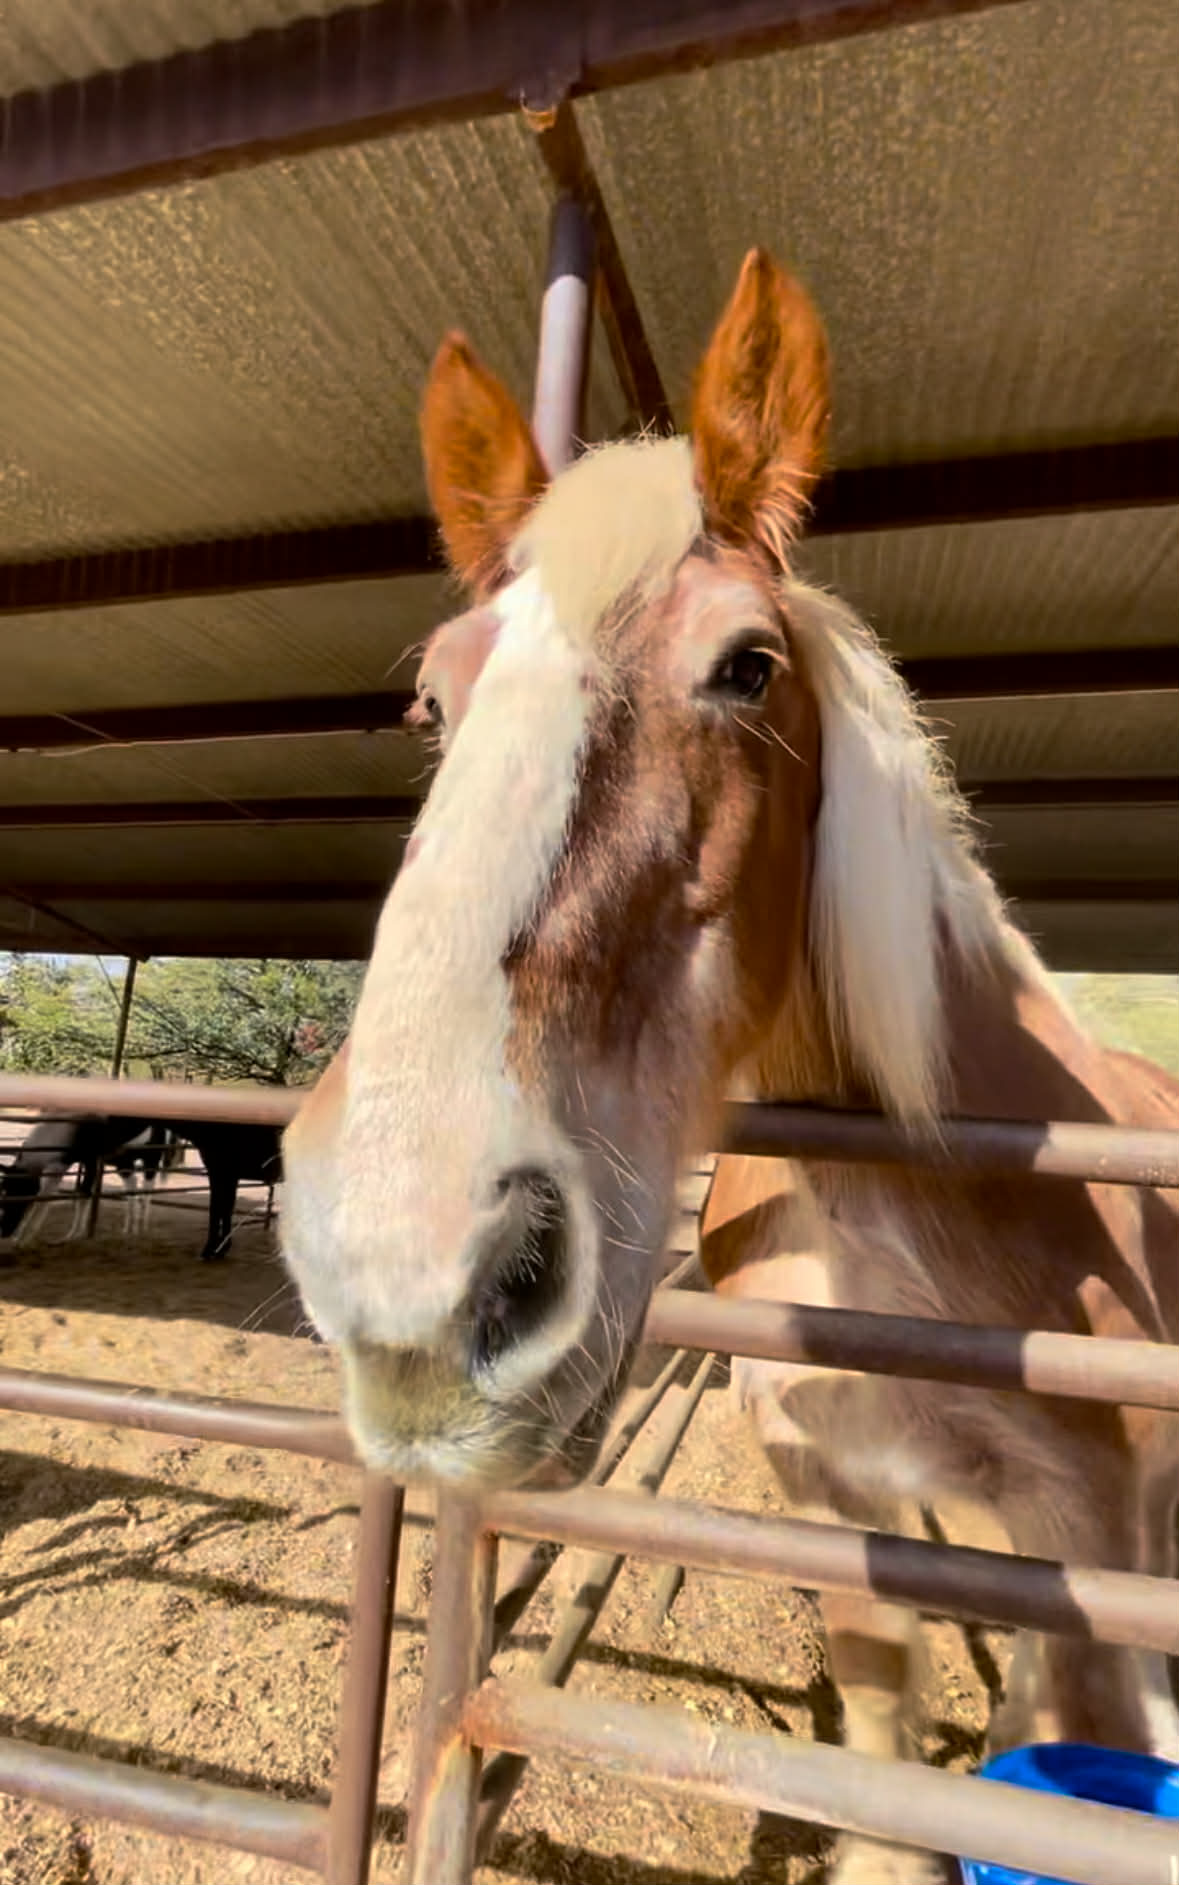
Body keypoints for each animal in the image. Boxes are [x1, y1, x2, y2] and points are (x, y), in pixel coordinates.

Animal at [279, 247, 1179, 1881]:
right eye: (435, 699)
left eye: (746, 665)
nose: (412, 1267)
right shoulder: (837, 1508)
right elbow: (889, 1771)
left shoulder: (1100, 1551)